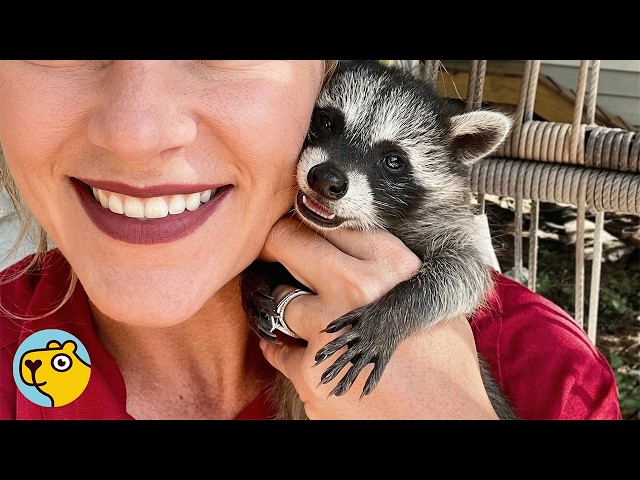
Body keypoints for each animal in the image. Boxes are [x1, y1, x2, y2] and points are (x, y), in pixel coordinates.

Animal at [240, 60, 516, 420]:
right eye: (326, 121)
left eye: (394, 160)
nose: (326, 179)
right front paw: (254, 278)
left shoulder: (448, 227)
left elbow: (464, 274)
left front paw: (395, 312)